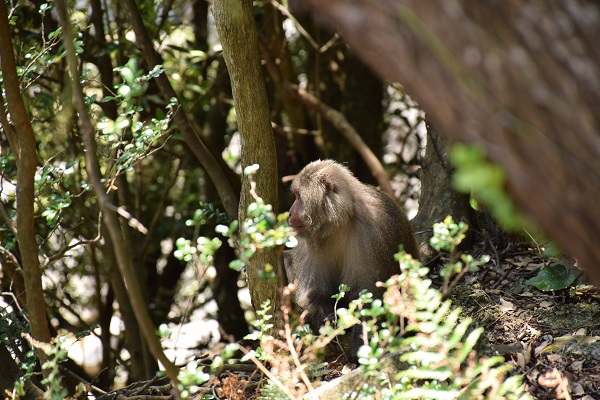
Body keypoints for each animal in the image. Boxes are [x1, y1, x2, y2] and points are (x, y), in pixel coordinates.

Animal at [284, 159, 418, 360]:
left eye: (299, 196)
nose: (290, 213)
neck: (341, 222)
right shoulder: (309, 243)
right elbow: (312, 294)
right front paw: (328, 321)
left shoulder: (373, 230)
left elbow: (371, 294)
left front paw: (361, 343)